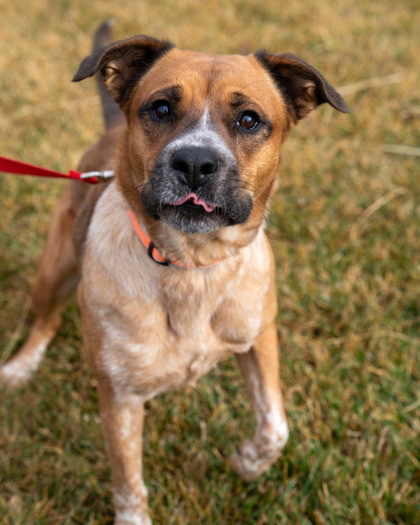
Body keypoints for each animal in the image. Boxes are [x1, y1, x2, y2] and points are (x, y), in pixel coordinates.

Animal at [0, 20, 348, 524]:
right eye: (161, 108)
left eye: (249, 120)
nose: (195, 163)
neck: (191, 266)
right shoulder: (120, 397)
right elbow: (129, 484)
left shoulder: (259, 337)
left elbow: (275, 426)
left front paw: (247, 464)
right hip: (55, 269)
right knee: (45, 320)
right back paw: (20, 368)